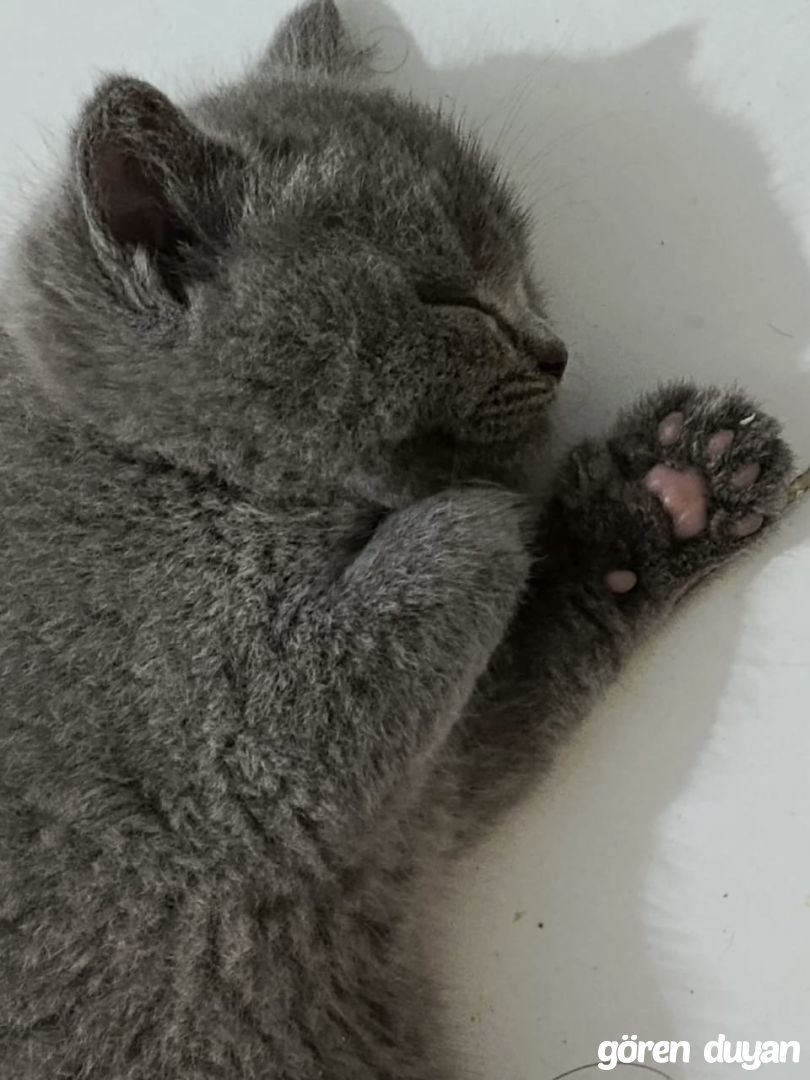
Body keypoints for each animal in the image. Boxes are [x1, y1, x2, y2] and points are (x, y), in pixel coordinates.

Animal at [0, 1, 794, 1077]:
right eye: (446, 295)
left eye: (524, 268)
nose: (556, 350)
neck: (162, 465)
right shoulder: (239, 742)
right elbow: (445, 563)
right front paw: (497, 505)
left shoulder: (418, 812)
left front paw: (670, 489)